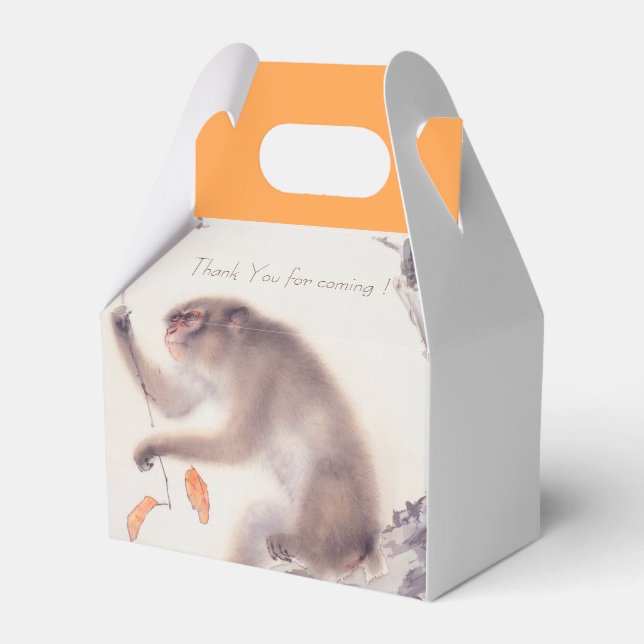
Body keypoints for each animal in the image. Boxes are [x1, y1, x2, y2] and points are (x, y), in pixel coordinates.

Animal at [111, 297, 387, 581]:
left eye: (190, 318)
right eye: (176, 318)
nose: (170, 331)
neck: (235, 350)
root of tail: (369, 543)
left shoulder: (260, 373)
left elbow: (236, 446)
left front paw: (152, 445)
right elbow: (176, 403)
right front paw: (121, 326)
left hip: (342, 534)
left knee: (327, 472)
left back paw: (304, 544)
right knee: (257, 519)